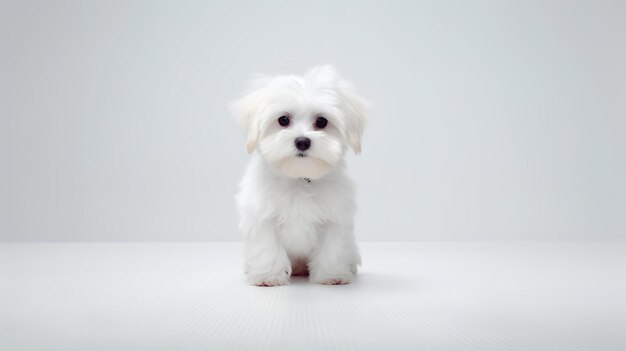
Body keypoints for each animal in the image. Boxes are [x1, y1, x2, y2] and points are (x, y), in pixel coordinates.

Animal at [229, 65, 366, 286]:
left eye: (321, 121)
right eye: (283, 120)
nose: (302, 141)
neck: (299, 178)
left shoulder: (334, 218)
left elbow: (332, 248)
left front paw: (331, 275)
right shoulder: (263, 217)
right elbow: (267, 246)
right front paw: (268, 276)